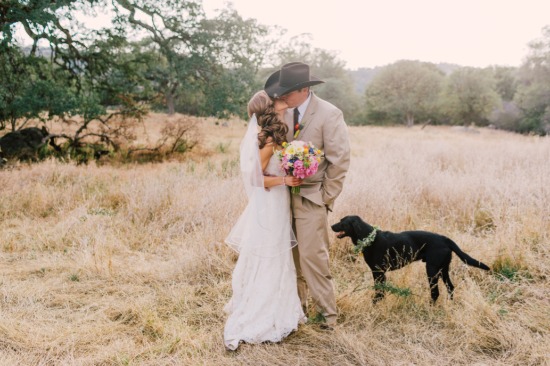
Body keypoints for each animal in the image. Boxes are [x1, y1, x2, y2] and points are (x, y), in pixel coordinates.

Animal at [332, 214, 492, 304]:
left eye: (342, 222)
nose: (331, 225)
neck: (369, 238)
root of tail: (445, 239)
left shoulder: (378, 272)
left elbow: (379, 291)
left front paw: (375, 304)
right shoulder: (380, 273)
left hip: (432, 270)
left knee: (435, 293)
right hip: (443, 269)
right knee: (450, 288)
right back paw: (450, 305)